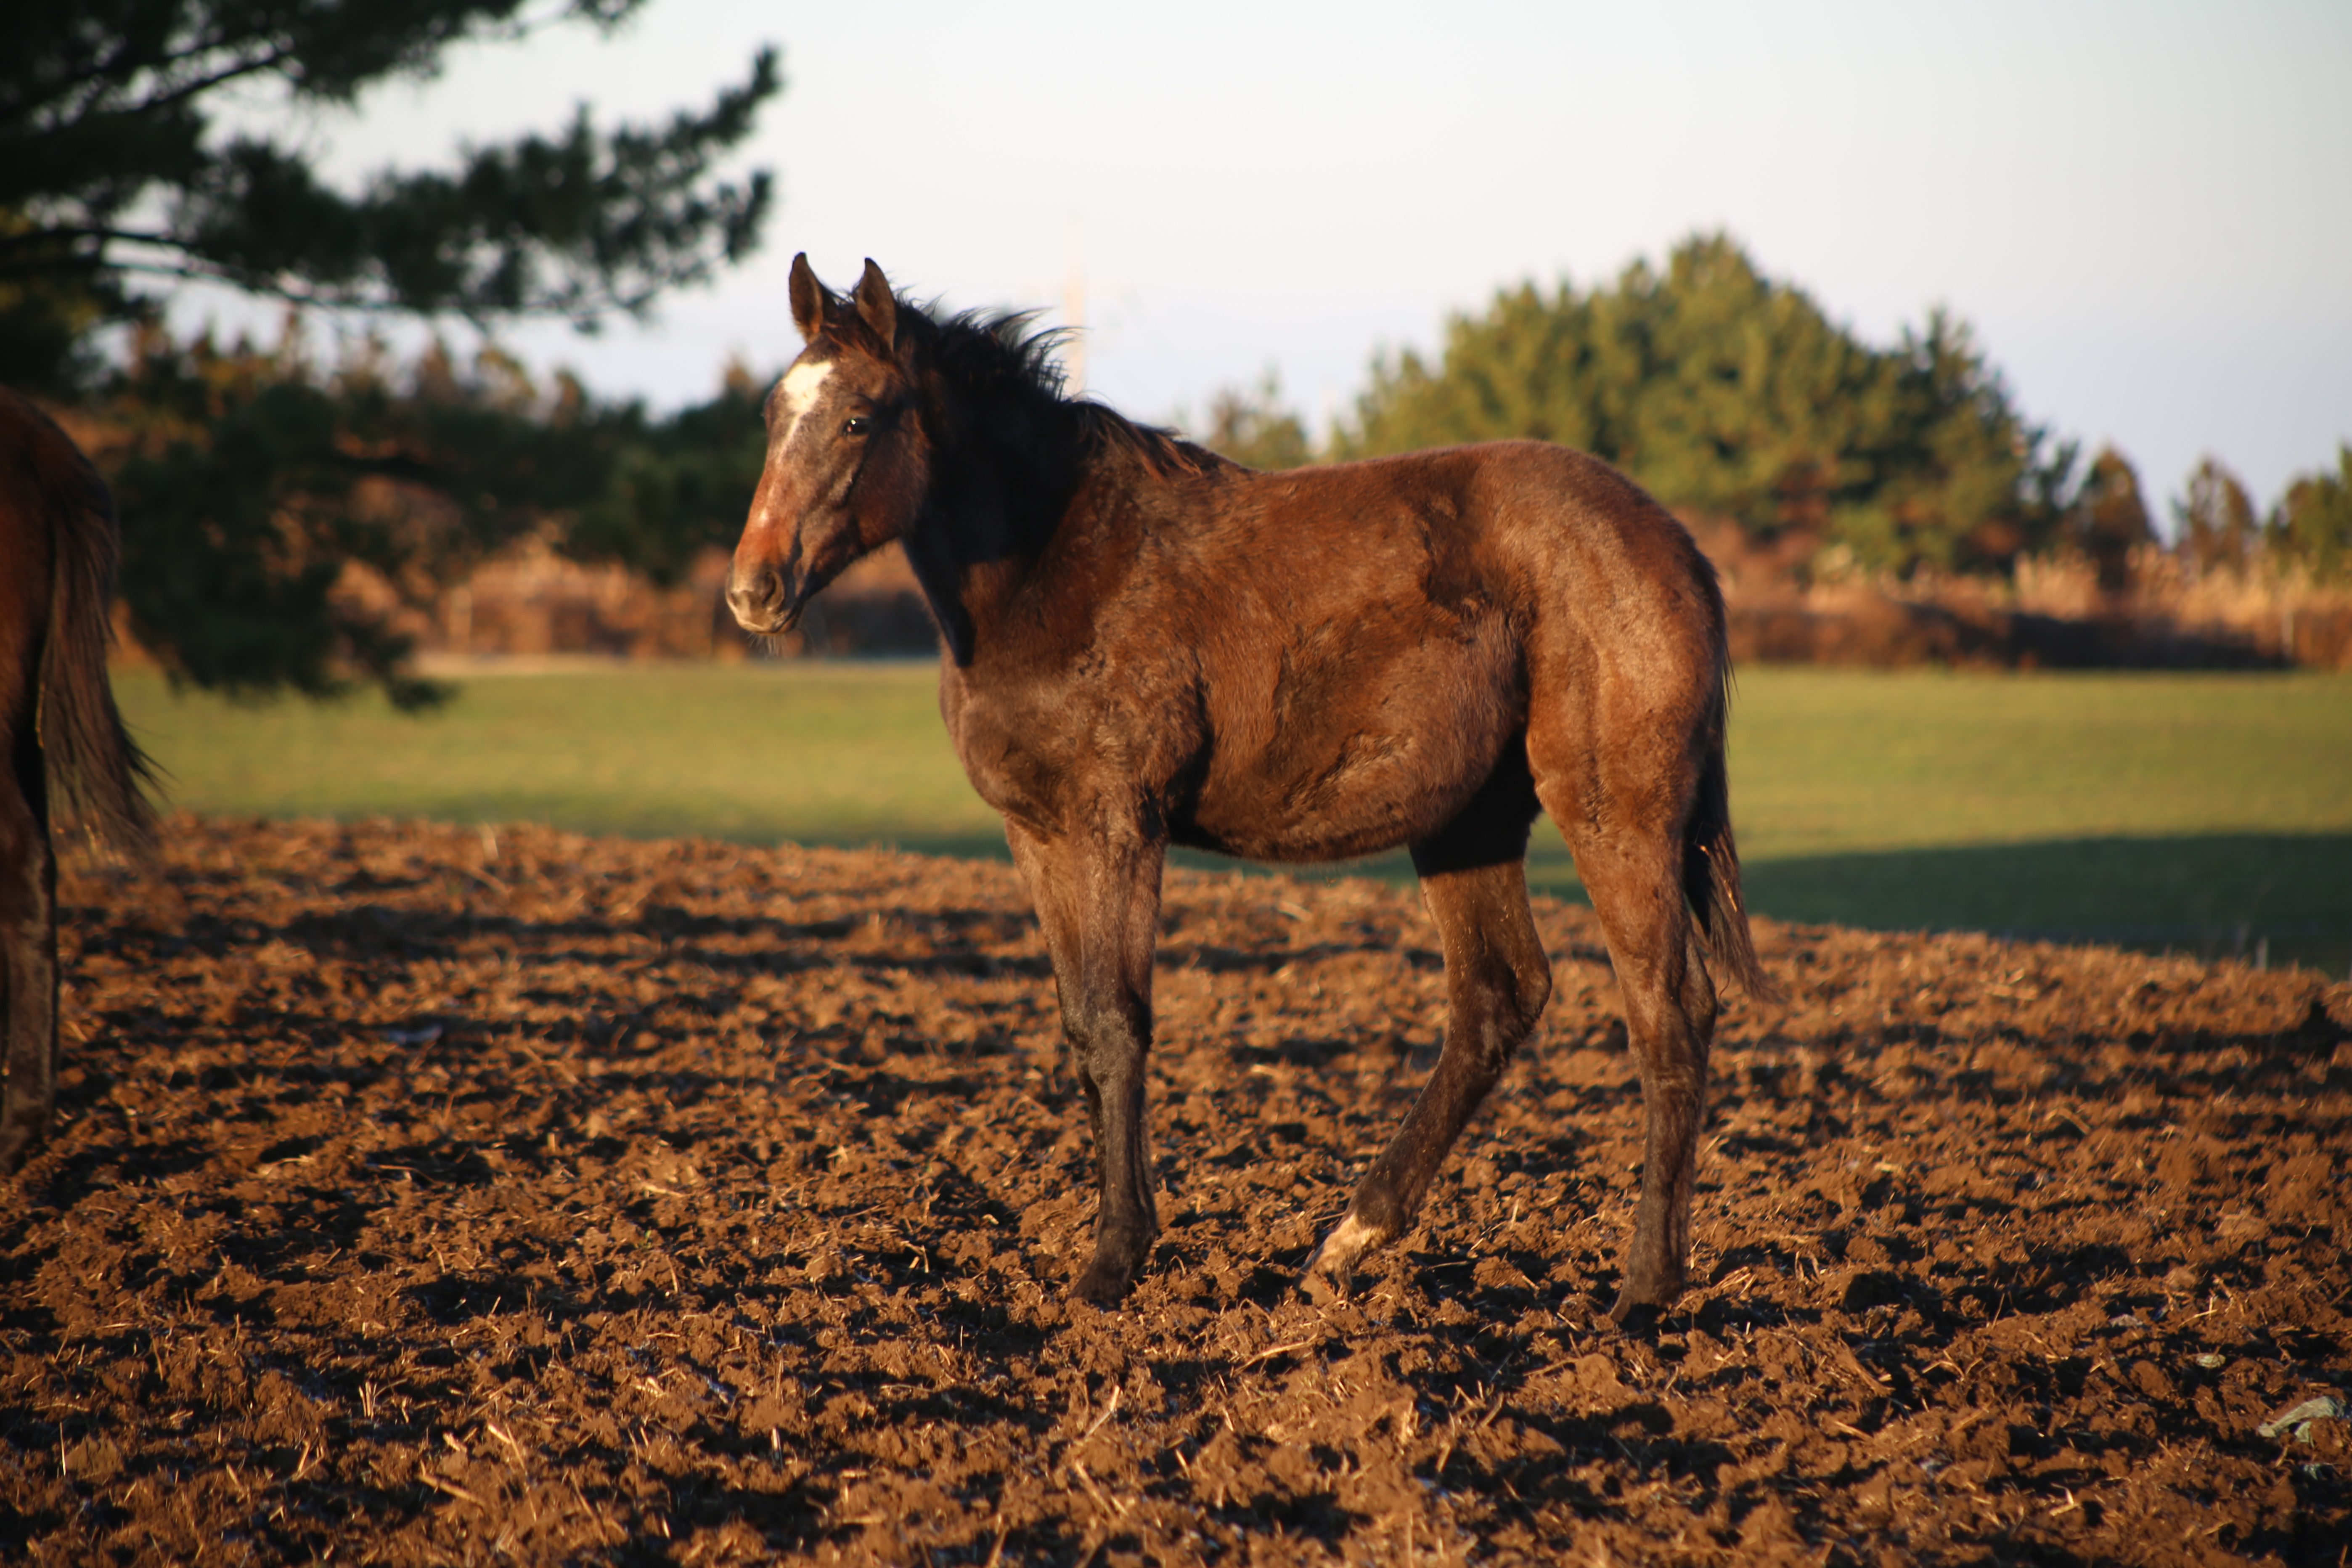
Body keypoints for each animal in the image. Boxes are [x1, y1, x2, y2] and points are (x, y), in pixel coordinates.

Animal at [724, 261, 1769, 1326]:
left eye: (859, 419)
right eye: (772, 412)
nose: (753, 590)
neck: (1054, 569)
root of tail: (1677, 547)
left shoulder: (1117, 825)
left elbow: (1118, 1024)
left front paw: (1112, 1264)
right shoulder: (1037, 833)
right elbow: (1080, 1025)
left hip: (1614, 811)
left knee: (1668, 1011)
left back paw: (1641, 1293)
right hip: (1466, 821)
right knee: (1498, 998)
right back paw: (1344, 1245)